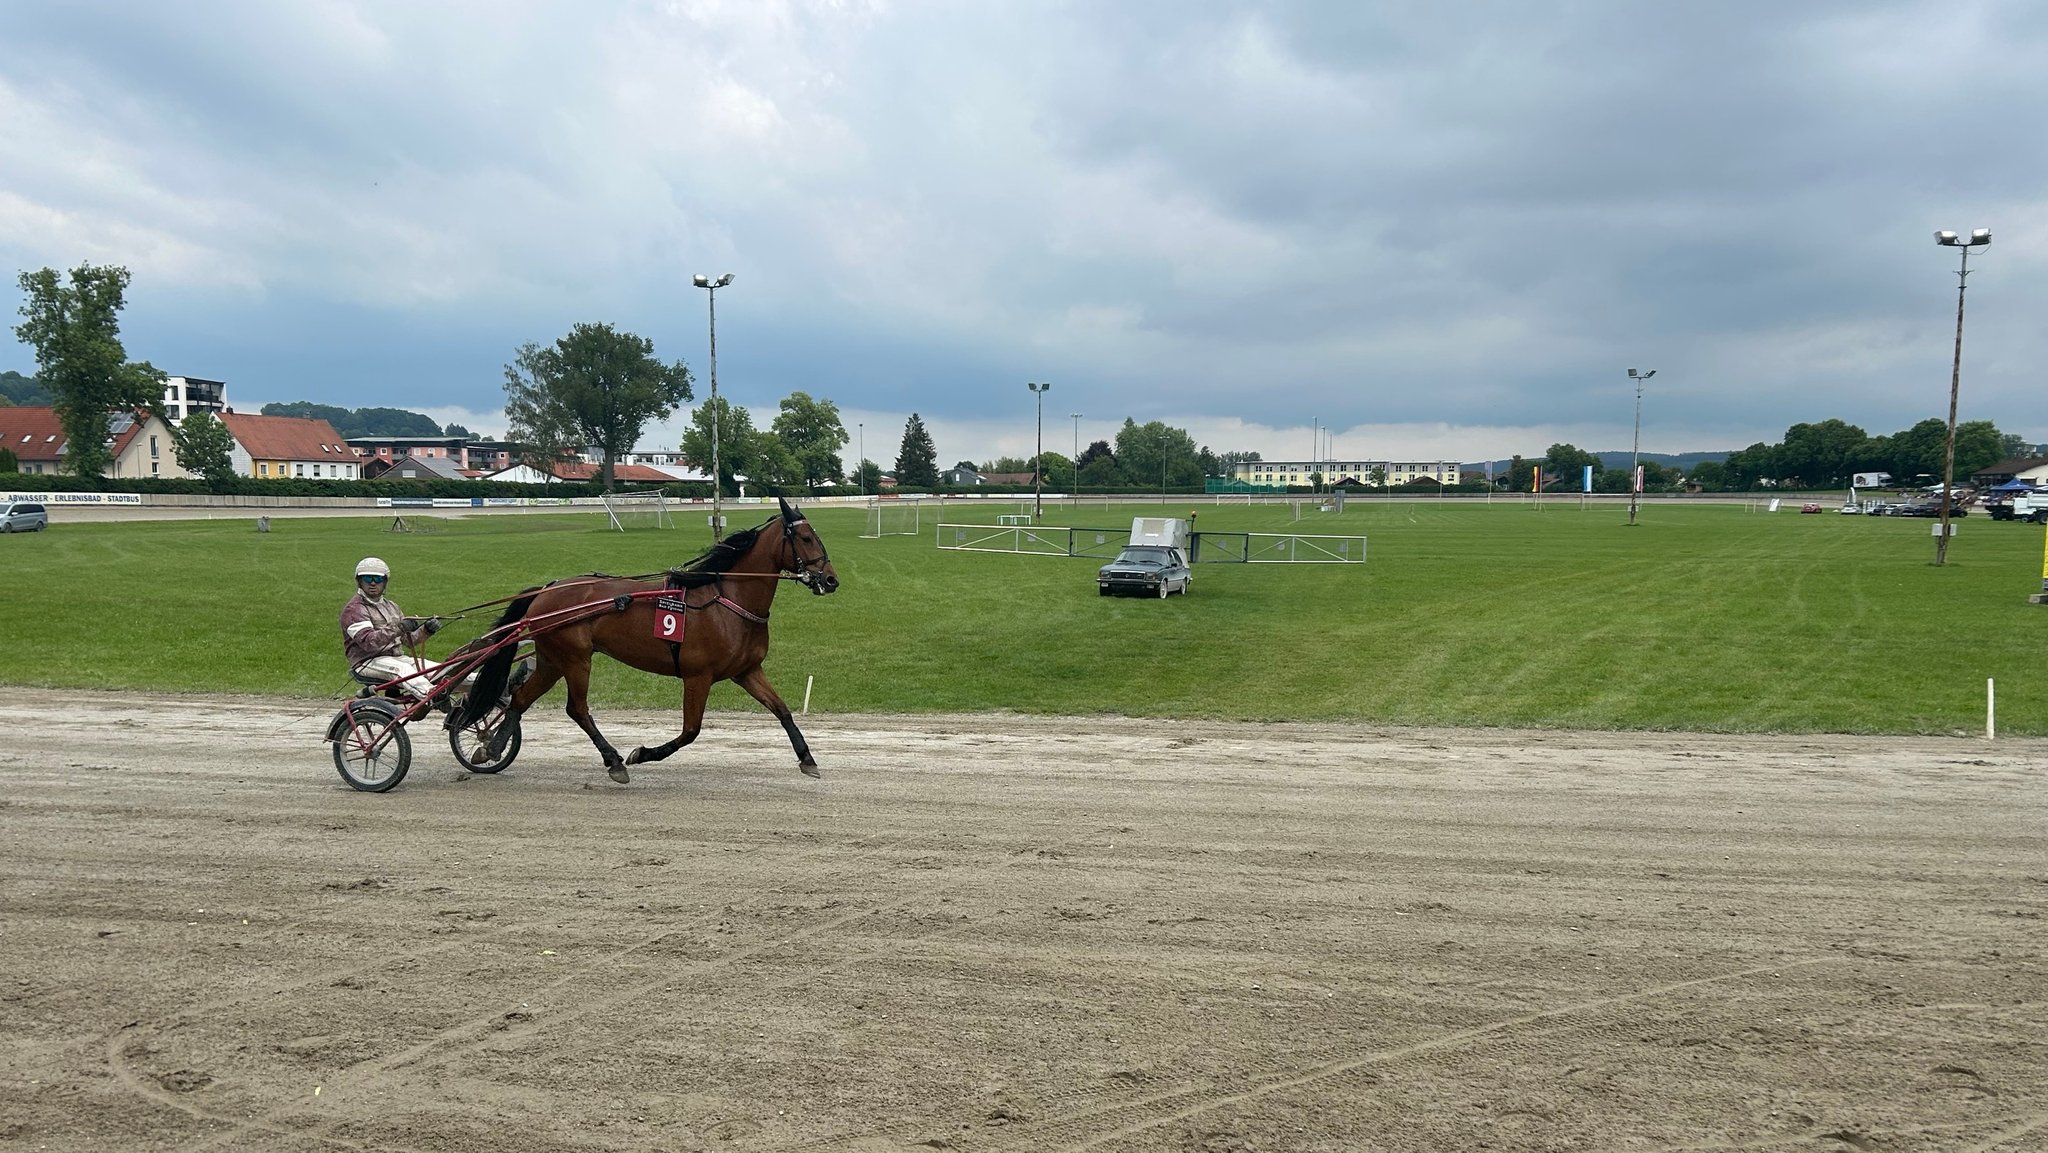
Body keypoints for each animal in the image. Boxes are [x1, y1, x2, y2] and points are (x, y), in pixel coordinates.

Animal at [458, 495, 839, 786]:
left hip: (553, 659)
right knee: (577, 709)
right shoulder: (697, 676)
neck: (728, 601)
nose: (831, 580)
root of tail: (546, 590)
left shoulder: (746, 671)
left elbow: (782, 710)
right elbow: (690, 731)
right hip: (576, 659)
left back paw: (491, 748)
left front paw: (807, 759)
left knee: (522, 698)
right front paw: (641, 754)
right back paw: (613, 761)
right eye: (807, 539)